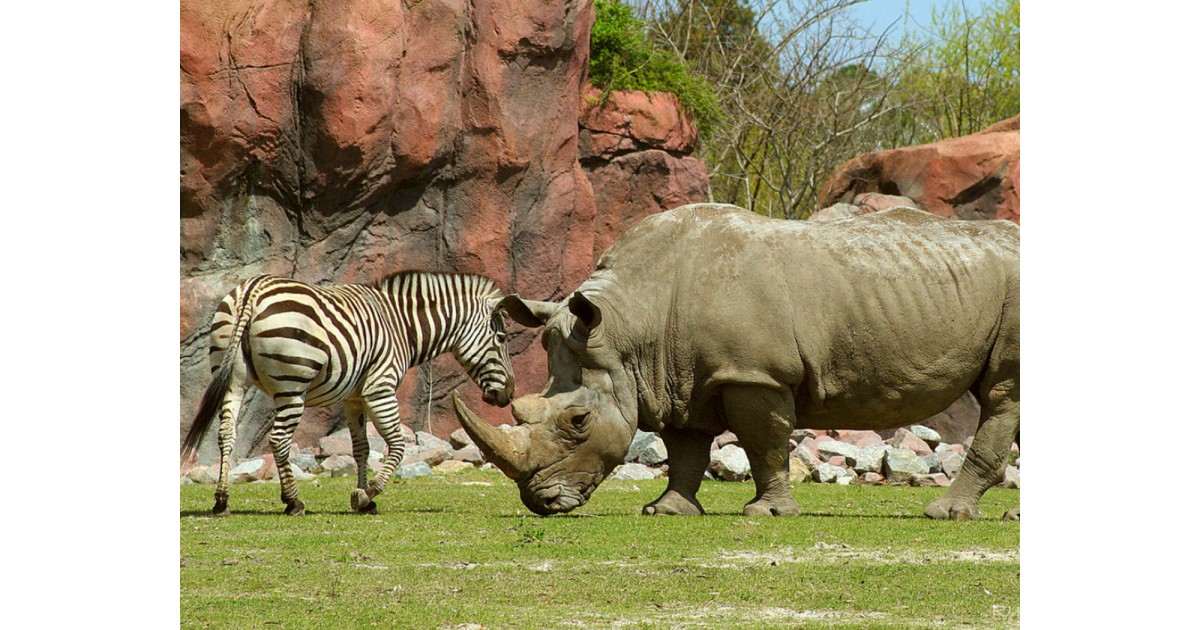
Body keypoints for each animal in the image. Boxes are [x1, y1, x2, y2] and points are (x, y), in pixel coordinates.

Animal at [182, 270, 530, 516]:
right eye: (501, 339)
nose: (509, 395)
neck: (401, 326)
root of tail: (253, 289)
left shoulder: (354, 398)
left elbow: (361, 448)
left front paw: (365, 499)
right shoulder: (380, 387)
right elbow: (397, 444)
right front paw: (368, 493)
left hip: (232, 378)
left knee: (226, 434)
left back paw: (221, 501)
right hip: (292, 383)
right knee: (279, 439)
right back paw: (293, 502)